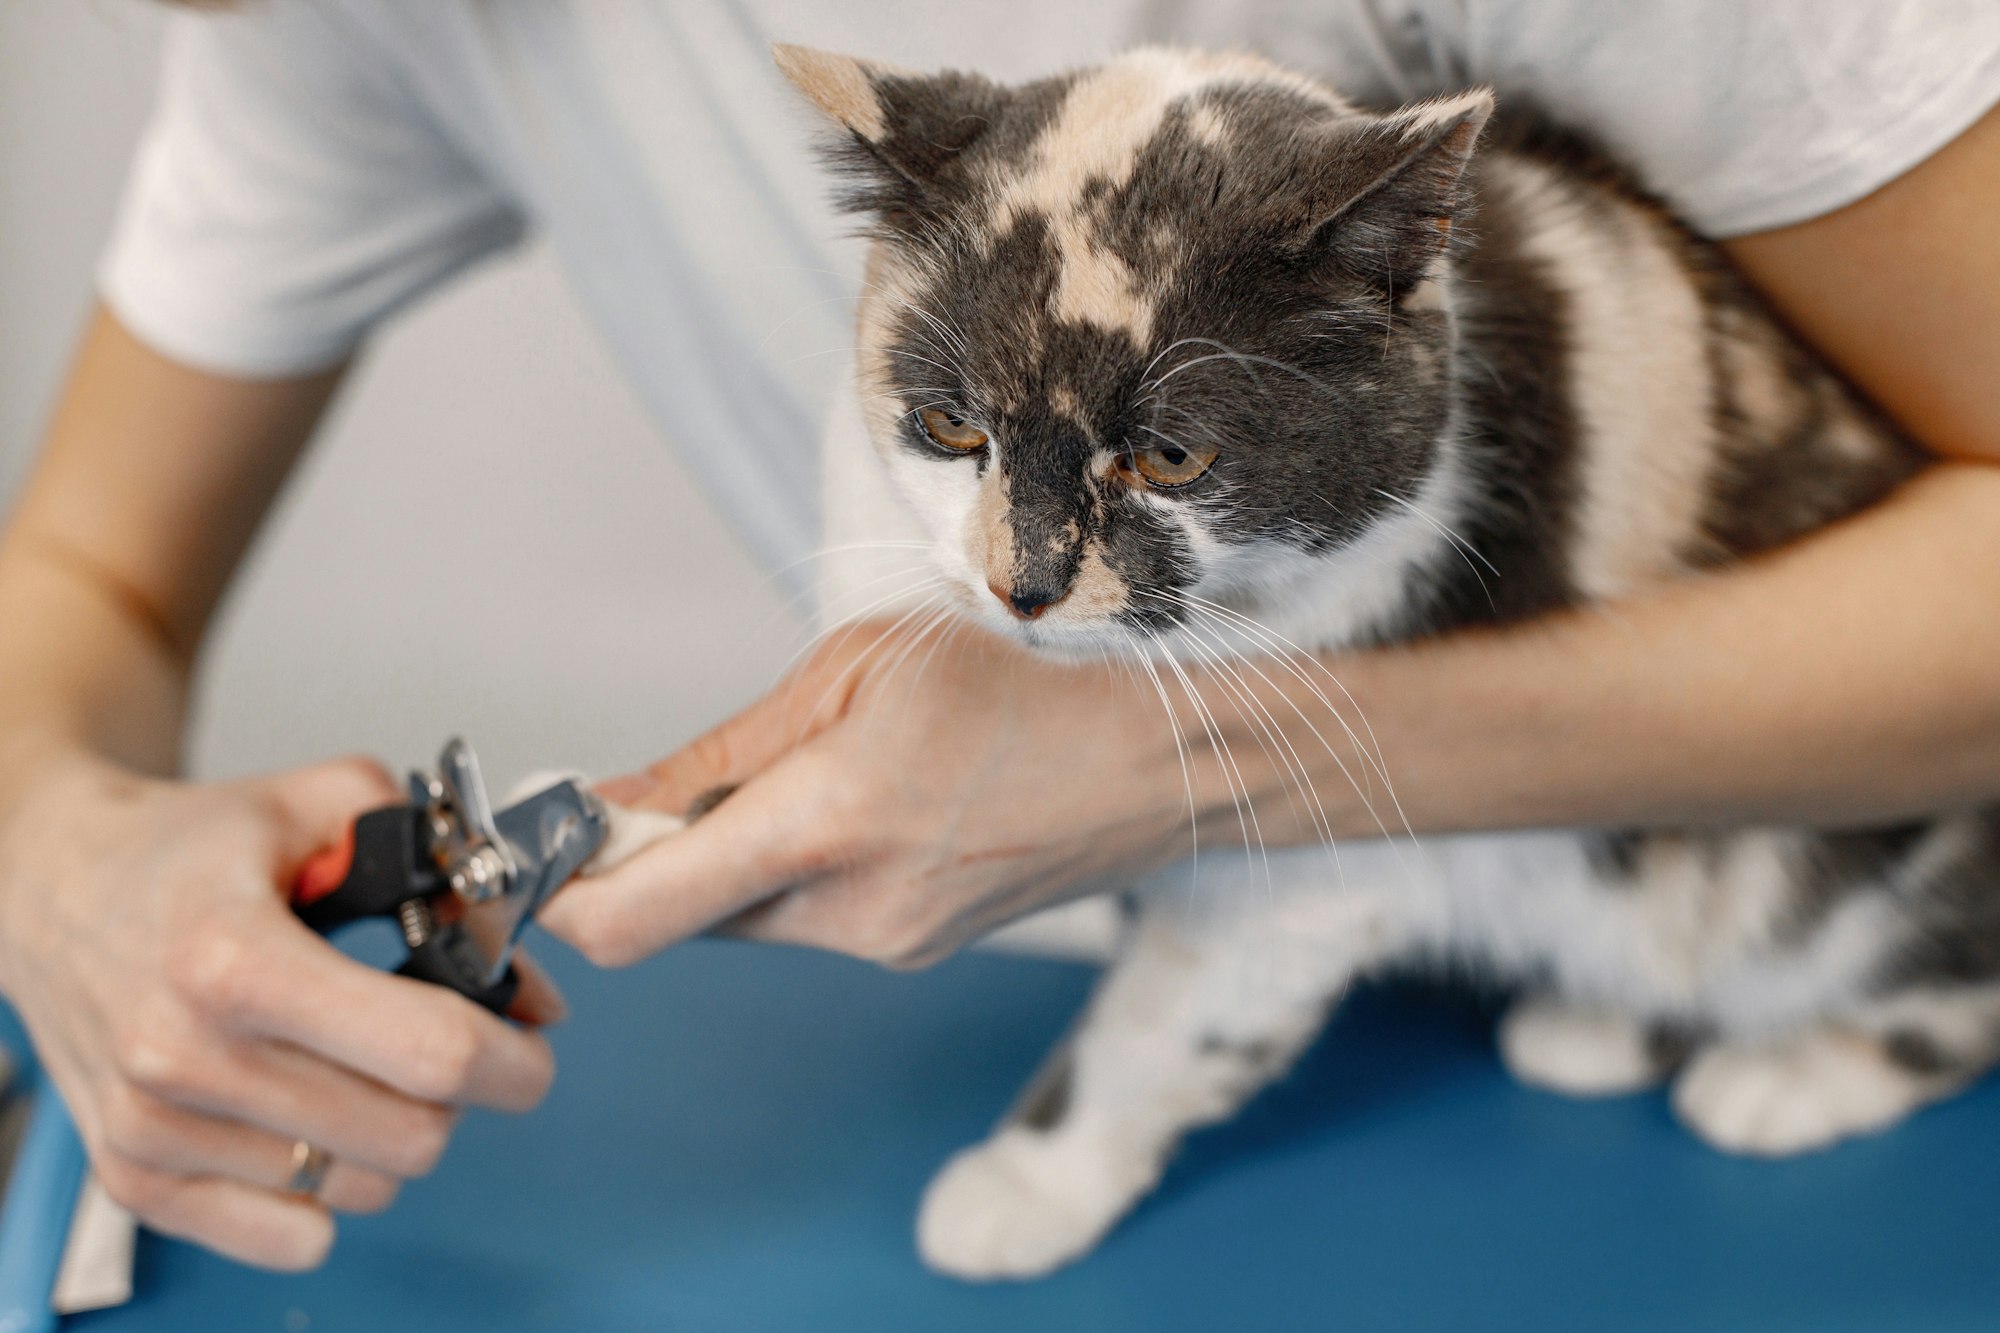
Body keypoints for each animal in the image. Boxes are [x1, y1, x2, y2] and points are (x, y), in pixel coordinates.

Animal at [772, 44, 2000, 1280]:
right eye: (949, 426)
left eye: (1171, 456)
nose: (1018, 586)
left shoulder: (1317, 837)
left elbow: (1167, 1022)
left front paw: (1028, 1182)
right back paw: (1598, 1026)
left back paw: (1785, 1073)